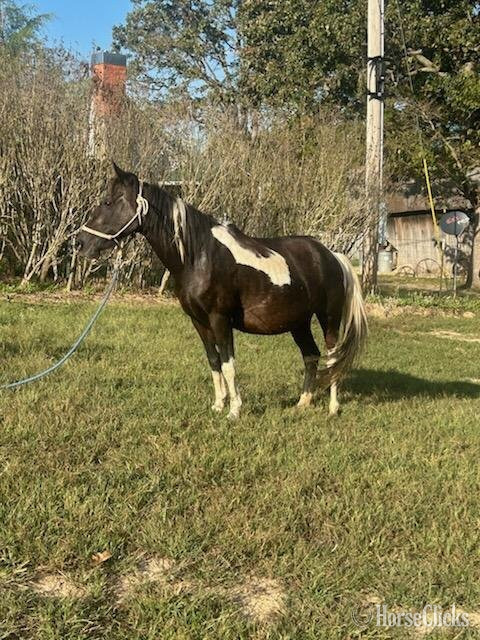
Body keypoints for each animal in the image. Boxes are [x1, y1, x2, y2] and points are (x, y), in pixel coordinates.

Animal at [77, 163, 367, 418]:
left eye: (108, 202)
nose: (81, 242)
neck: (198, 256)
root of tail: (332, 255)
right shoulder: (199, 321)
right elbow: (214, 361)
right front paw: (218, 405)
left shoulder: (220, 319)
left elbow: (229, 365)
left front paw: (234, 410)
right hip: (299, 322)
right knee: (311, 355)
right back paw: (302, 403)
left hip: (329, 318)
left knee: (332, 357)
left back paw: (333, 408)